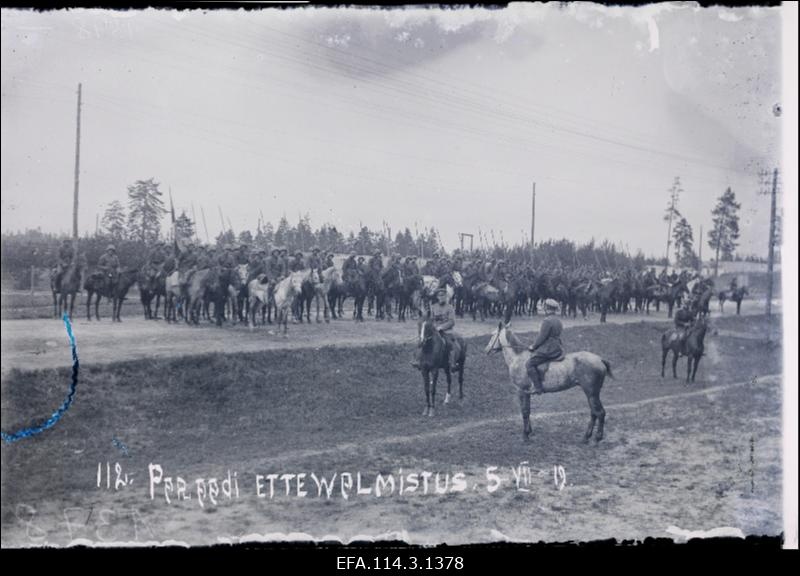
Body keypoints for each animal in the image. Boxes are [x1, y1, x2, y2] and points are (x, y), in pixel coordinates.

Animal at [482, 322, 612, 444]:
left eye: (493, 335)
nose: (486, 350)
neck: (518, 357)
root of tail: (599, 359)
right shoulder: (527, 393)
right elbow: (528, 411)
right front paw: (529, 432)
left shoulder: (521, 391)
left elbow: (524, 411)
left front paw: (525, 435)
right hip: (591, 393)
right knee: (594, 413)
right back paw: (586, 437)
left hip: (591, 393)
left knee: (600, 413)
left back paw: (597, 438)